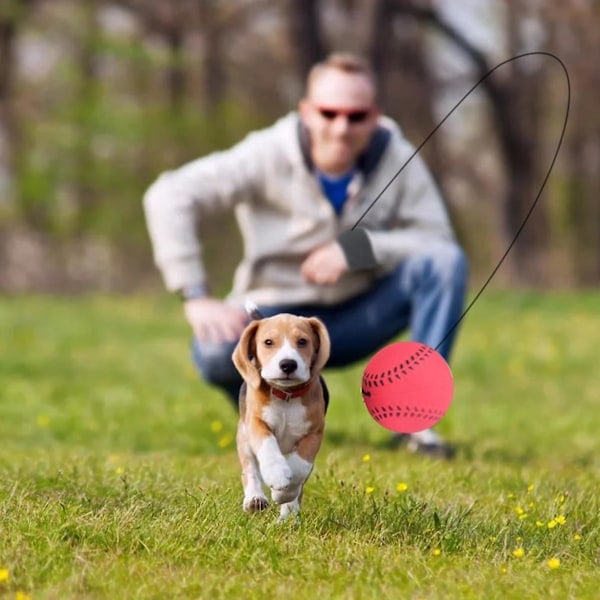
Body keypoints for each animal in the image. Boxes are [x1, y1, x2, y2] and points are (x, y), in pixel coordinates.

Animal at [232, 312, 330, 516]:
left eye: (302, 341)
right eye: (268, 342)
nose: (288, 364)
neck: (287, 395)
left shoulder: (314, 433)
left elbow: (300, 466)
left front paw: (284, 494)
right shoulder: (255, 422)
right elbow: (267, 444)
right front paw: (276, 474)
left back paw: (289, 514)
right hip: (243, 438)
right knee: (250, 470)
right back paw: (255, 499)